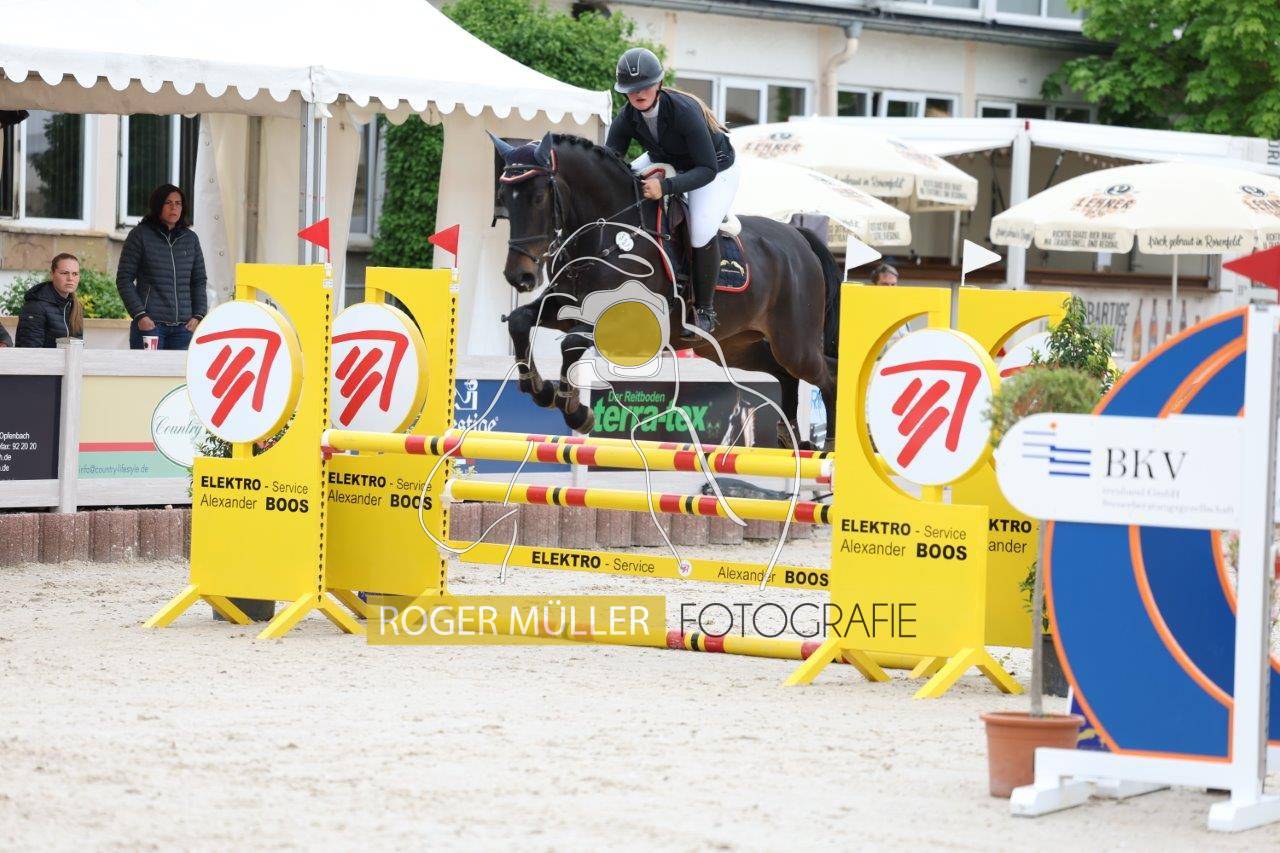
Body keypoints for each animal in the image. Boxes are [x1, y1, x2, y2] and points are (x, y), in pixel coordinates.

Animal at [491, 132, 842, 450]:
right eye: (504, 198)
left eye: (538, 197)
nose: (519, 276)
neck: (606, 236)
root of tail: (798, 239)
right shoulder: (565, 305)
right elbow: (520, 321)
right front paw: (541, 390)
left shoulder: (623, 322)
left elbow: (572, 343)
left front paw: (576, 411)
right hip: (733, 347)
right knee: (784, 373)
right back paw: (789, 437)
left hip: (794, 344)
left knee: (826, 373)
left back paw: (829, 443)